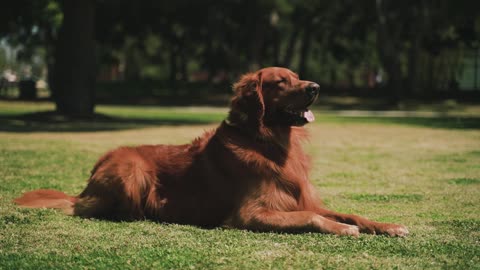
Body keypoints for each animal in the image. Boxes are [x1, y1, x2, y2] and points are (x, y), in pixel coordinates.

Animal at [15, 67, 408, 236]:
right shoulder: (251, 214)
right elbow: (314, 218)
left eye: (298, 77)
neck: (267, 143)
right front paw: (342, 229)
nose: (315, 87)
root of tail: (83, 188)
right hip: (130, 167)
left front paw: (387, 225)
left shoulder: (300, 199)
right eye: (281, 82)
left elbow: (350, 212)